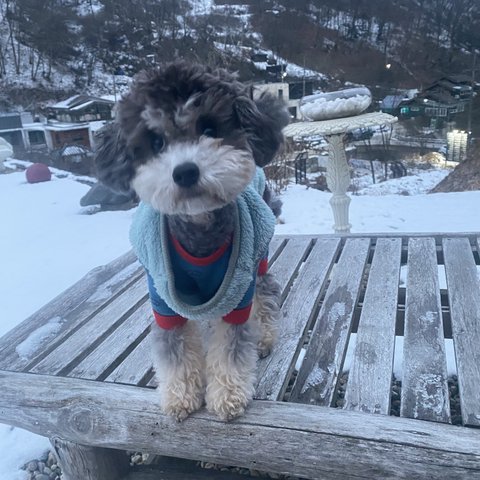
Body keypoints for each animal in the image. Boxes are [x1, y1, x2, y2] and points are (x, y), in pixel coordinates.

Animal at [95, 61, 289, 421]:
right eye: (156, 142)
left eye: (209, 128)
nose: (185, 172)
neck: (200, 230)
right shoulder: (163, 300)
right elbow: (175, 350)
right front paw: (181, 396)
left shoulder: (239, 293)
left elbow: (232, 346)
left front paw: (228, 395)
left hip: (259, 255)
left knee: (266, 293)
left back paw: (265, 336)